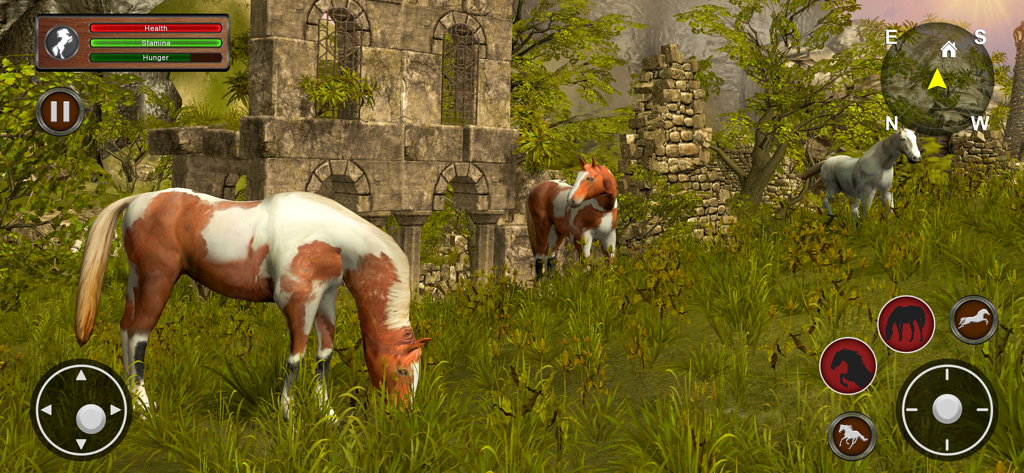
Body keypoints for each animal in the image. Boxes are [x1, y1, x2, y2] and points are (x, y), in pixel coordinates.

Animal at [74, 189, 431, 421]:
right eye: (401, 370)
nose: (405, 415)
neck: (329, 238)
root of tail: (138, 199)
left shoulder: (325, 298)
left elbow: (325, 353)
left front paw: (326, 412)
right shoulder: (297, 302)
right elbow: (296, 356)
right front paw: (288, 414)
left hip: (137, 282)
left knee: (125, 329)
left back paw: (130, 398)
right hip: (156, 282)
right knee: (138, 336)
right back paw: (144, 407)